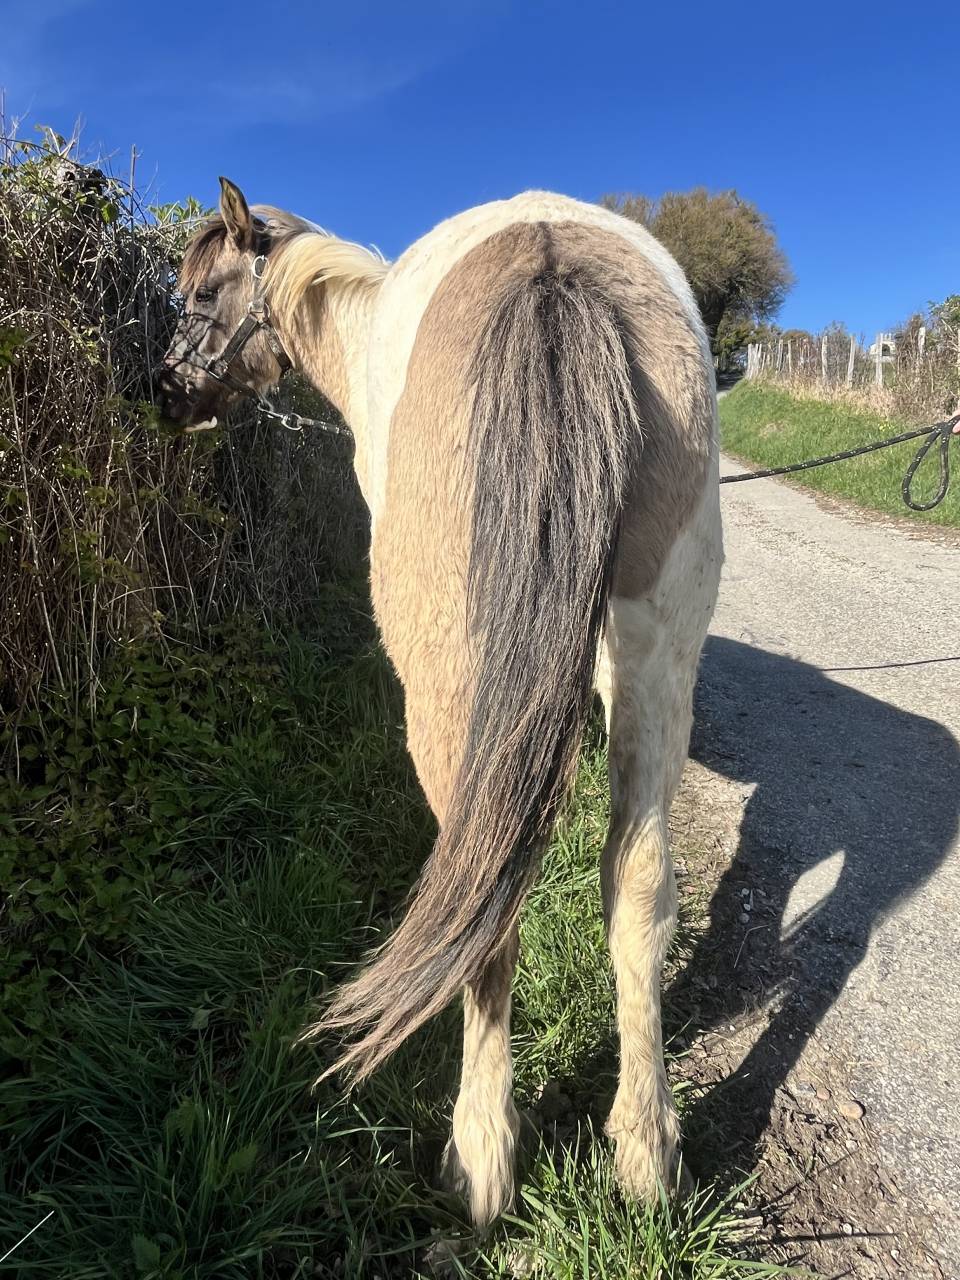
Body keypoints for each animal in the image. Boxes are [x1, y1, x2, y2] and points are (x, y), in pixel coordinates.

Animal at [157, 177, 723, 1228]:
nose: (163, 393)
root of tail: (552, 263)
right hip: (661, 646)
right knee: (635, 882)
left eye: (202, 294)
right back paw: (644, 1151)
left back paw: (482, 1152)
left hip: (451, 682)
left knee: (480, 896)